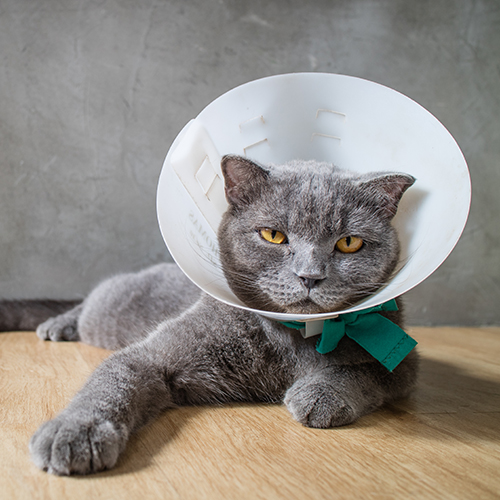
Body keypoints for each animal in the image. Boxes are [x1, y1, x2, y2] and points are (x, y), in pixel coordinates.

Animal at [0, 156, 418, 476]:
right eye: (273, 235)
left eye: (349, 243)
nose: (310, 276)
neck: (291, 337)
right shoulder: (151, 356)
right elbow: (112, 381)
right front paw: (75, 432)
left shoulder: (403, 360)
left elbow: (364, 371)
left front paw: (319, 394)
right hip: (107, 309)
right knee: (84, 304)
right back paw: (57, 324)